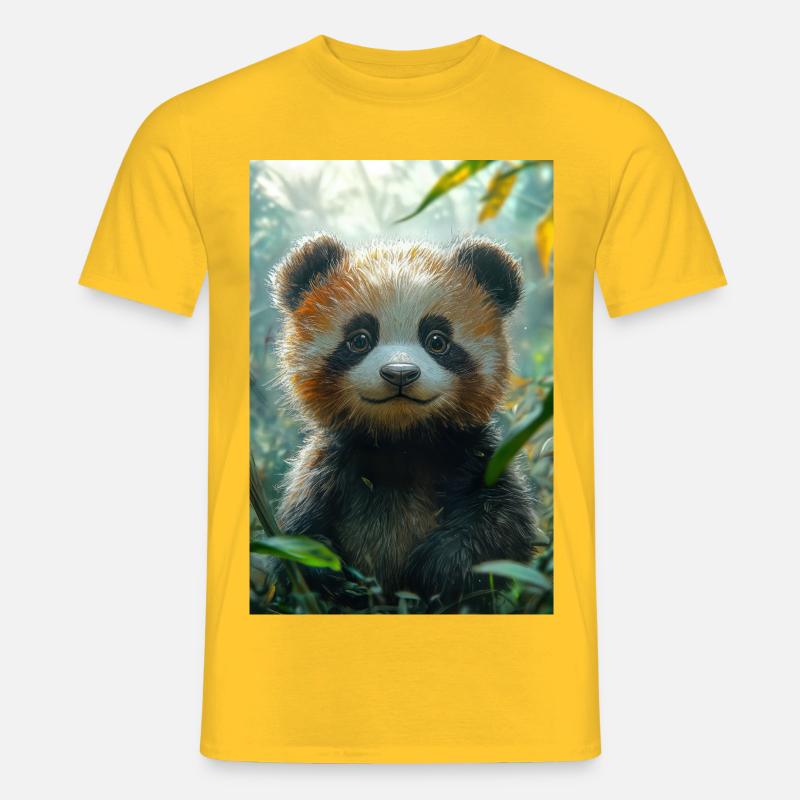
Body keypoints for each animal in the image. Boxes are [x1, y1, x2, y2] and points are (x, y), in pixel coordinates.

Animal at [265, 232, 538, 608]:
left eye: (437, 340)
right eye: (359, 339)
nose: (400, 374)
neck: (401, 440)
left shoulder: (474, 455)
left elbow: (504, 528)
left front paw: (437, 568)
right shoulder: (329, 465)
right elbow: (300, 533)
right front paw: (334, 575)